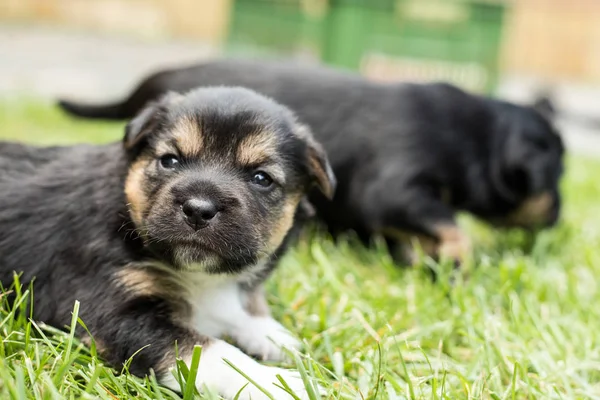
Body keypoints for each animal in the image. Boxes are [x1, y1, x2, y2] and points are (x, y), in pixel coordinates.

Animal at [2, 87, 336, 400]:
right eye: (170, 161)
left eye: (261, 178)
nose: (199, 210)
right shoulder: (109, 310)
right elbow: (210, 351)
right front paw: (271, 382)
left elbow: (234, 313)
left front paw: (271, 335)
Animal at [58, 59, 564, 264]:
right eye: (557, 178)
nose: (559, 218)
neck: (471, 136)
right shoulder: (391, 189)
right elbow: (453, 226)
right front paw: (456, 265)